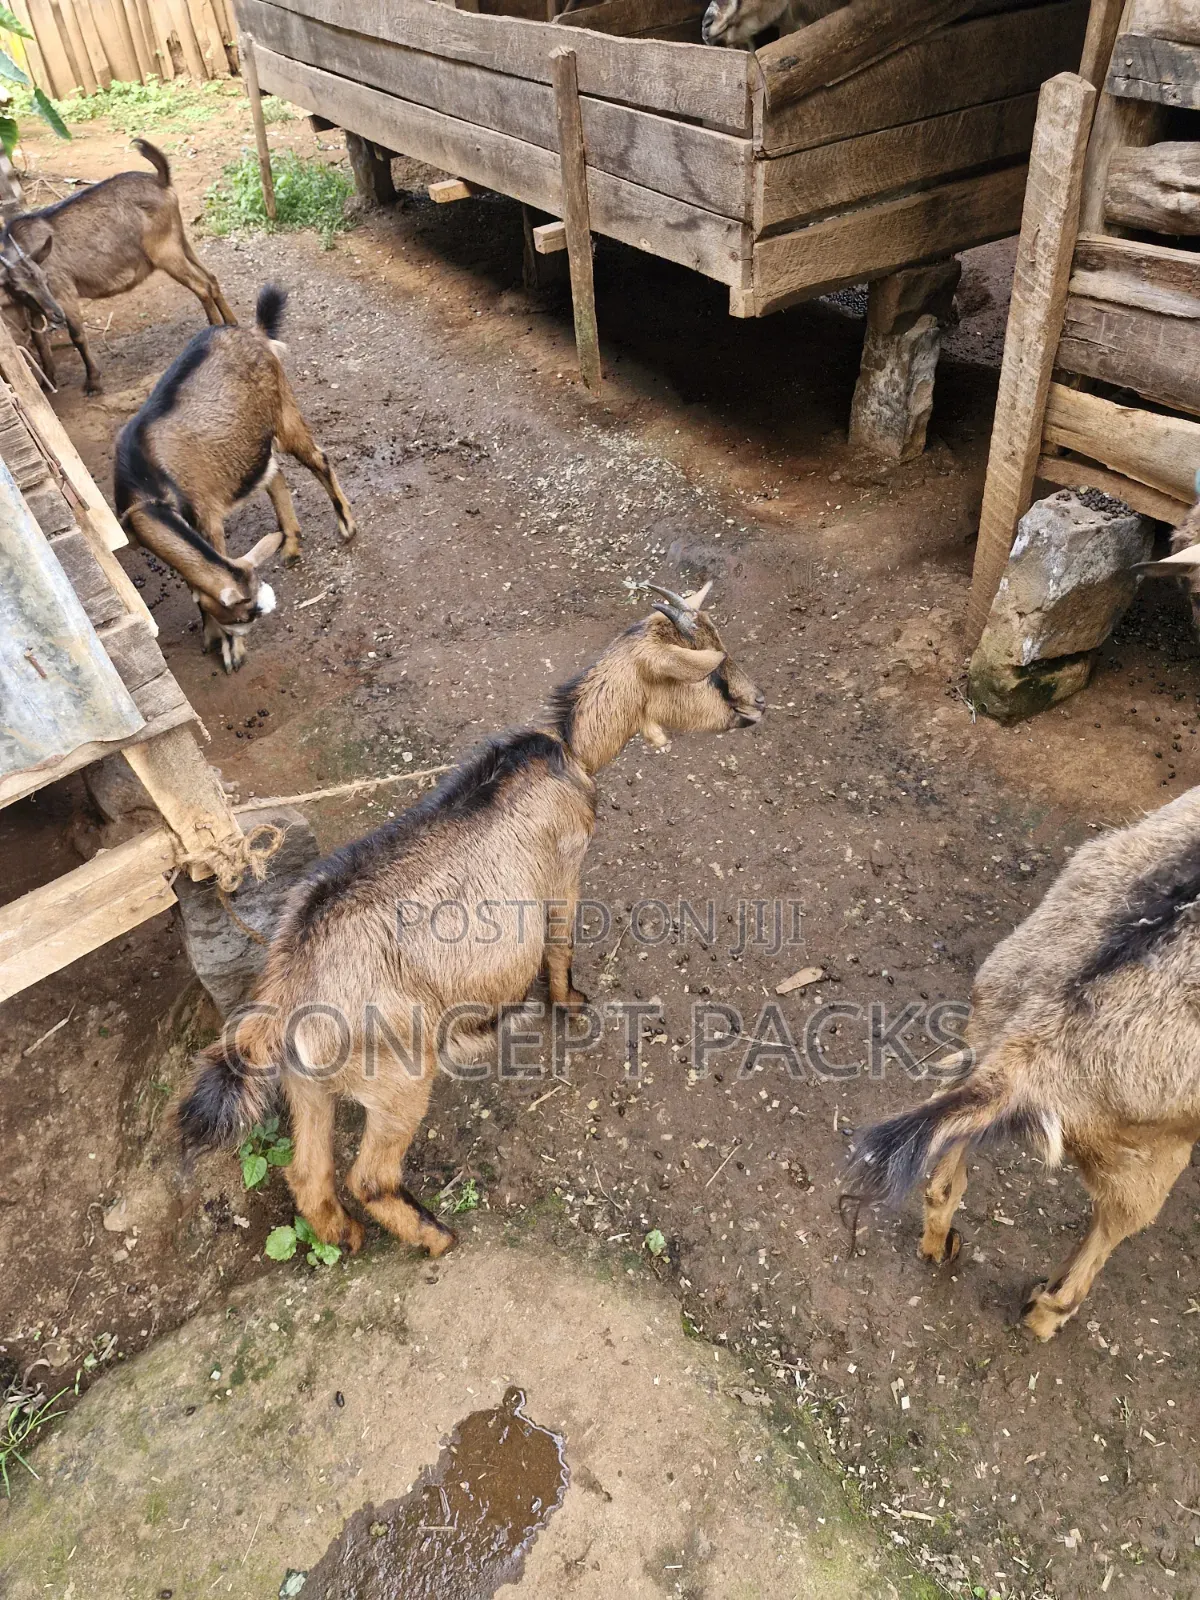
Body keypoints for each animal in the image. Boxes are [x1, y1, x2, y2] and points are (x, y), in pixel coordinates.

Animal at [0, 138, 234, 393]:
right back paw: (231, 323)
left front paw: (93, 382)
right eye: (20, 289)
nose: (56, 315)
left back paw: (213, 327)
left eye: (45, 278)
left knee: (201, 286)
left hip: (165, 252)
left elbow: (77, 336)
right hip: (180, 241)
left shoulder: (64, 293)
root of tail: (160, 179)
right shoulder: (34, 307)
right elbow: (40, 342)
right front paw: (47, 383)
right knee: (211, 278)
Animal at [115, 283, 356, 674]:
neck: (146, 486)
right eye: (245, 614)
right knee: (275, 476)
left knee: (319, 459)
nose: (239, 637)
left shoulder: (207, 516)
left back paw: (347, 525)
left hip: (283, 410)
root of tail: (255, 332)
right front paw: (213, 638)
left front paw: (231, 653)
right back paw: (290, 544)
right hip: (252, 439)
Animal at [178, 584, 765, 1257]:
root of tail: (288, 987)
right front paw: (569, 1003)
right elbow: (559, 945)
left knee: (308, 1174)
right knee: (370, 1177)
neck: (565, 749)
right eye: (714, 672)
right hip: (398, 1076)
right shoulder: (563, 873)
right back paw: (436, 1235)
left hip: (308, 1083)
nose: (759, 704)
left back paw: (346, 1238)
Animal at [843, 787, 1200, 1339]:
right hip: (1153, 1154)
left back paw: (941, 1246)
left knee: (944, 1180)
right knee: (1106, 1236)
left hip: (984, 1034)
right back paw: (1044, 1314)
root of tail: (1038, 1039)